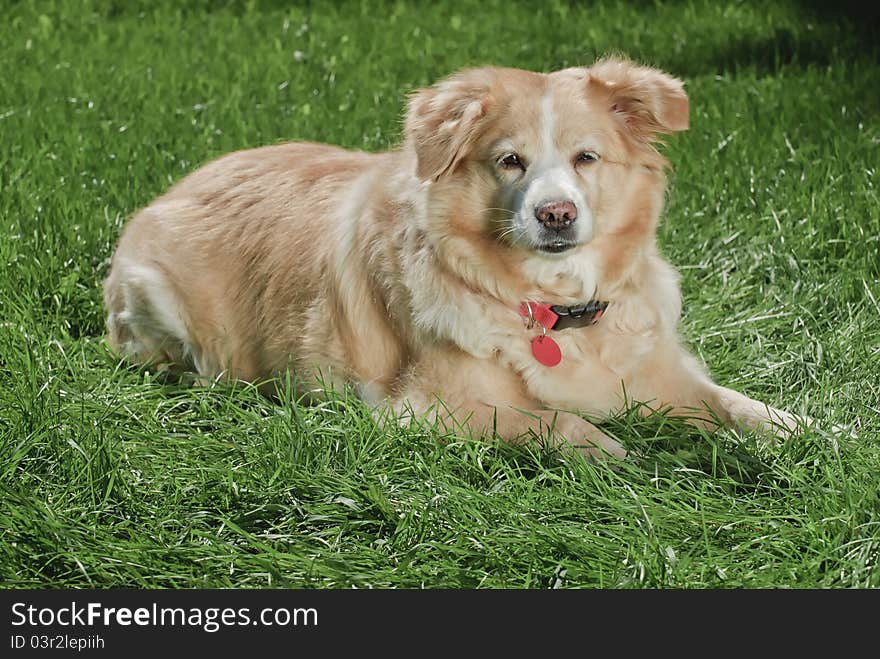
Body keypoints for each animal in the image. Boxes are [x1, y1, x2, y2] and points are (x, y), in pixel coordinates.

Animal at [101, 58, 804, 458]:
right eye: (510, 160)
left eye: (587, 157)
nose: (556, 214)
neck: (552, 306)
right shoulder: (425, 407)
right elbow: (554, 423)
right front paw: (613, 449)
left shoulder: (655, 371)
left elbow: (731, 404)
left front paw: (797, 429)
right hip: (161, 307)